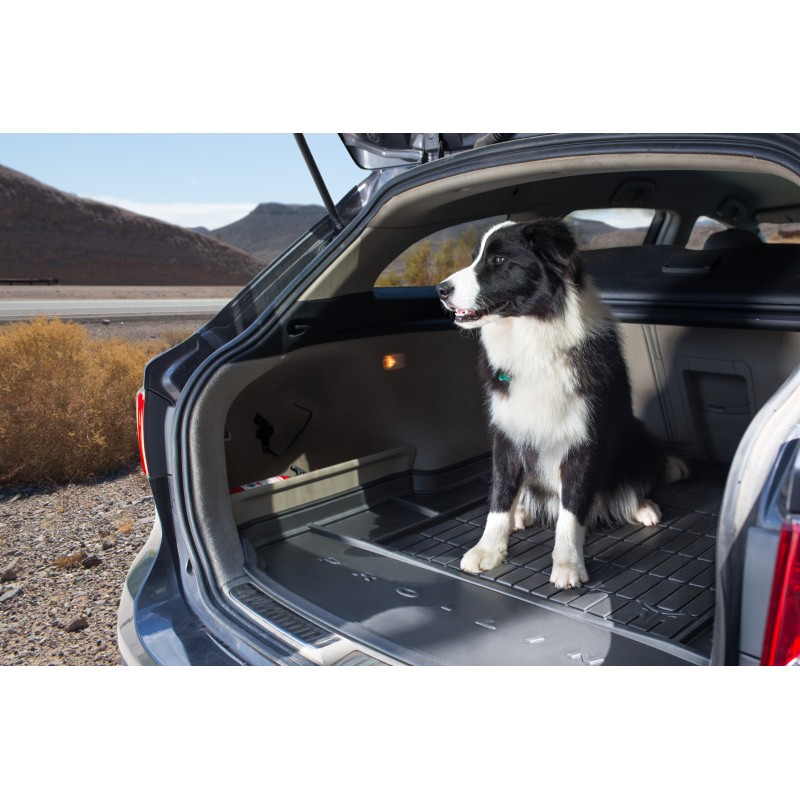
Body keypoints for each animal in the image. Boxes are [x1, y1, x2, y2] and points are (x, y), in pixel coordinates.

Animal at [434, 219, 684, 588]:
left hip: (638, 436)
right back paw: (521, 513)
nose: (440, 290)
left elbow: (572, 509)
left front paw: (568, 564)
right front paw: (488, 550)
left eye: (498, 261)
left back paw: (643, 506)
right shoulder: (507, 434)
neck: (534, 337)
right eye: (476, 257)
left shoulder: (584, 438)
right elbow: (499, 496)